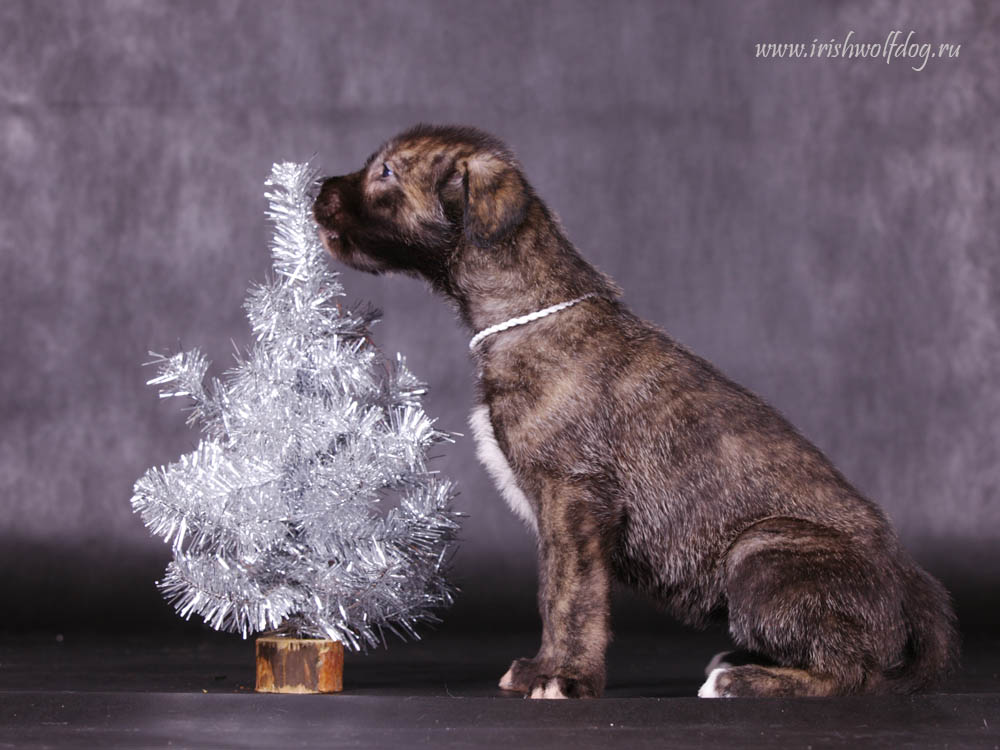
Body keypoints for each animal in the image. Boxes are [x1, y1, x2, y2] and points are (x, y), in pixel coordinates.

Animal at [312, 125, 960, 704]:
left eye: (386, 172)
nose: (317, 188)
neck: (528, 311)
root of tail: (912, 585)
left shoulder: (573, 499)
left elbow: (571, 599)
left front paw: (565, 677)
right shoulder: (558, 515)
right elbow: (553, 591)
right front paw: (543, 668)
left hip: (761, 552)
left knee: (850, 673)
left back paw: (741, 681)